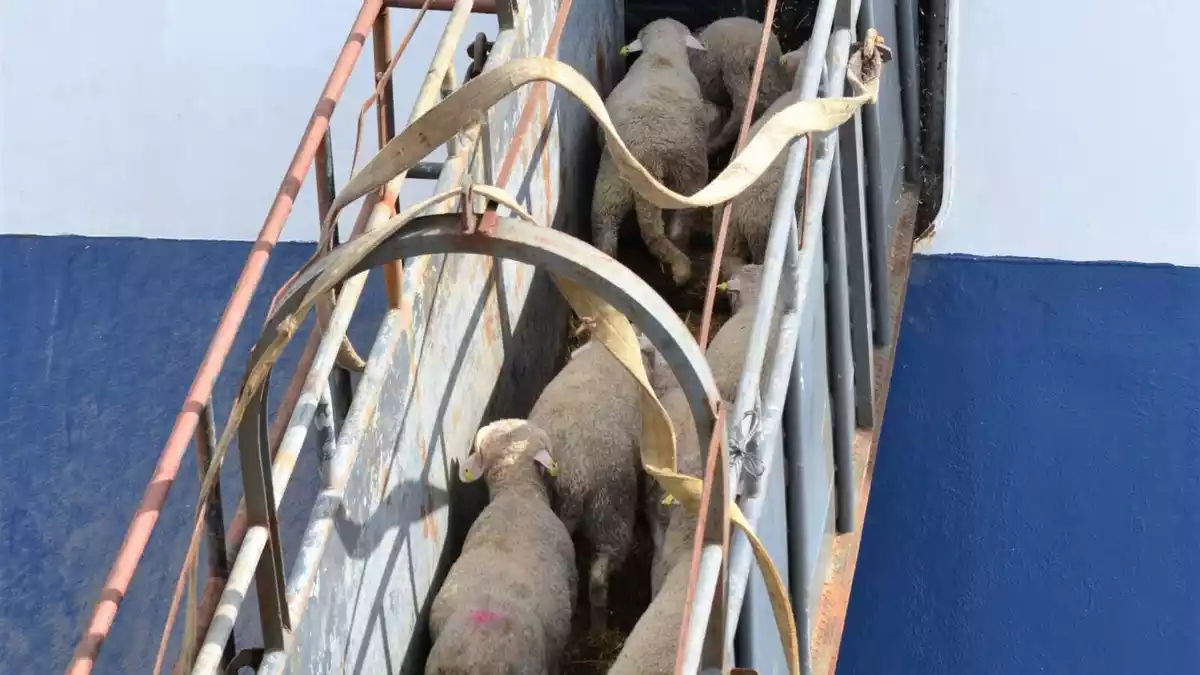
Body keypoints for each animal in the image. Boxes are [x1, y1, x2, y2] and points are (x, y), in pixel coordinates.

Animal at [592, 17, 710, 285]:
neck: (661, 58)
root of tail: (650, 158)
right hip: (688, 178)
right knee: (677, 226)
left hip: (613, 184)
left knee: (605, 231)